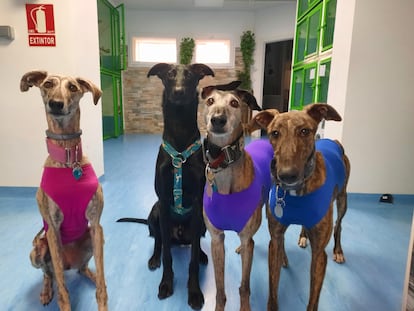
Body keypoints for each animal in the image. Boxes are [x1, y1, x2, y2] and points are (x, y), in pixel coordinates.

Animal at [116, 62, 213, 310]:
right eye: (169, 75)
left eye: (190, 76)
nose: (178, 91)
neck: (179, 132)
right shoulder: (163, 200)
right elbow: (168, 255)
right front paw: (166, 284)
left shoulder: (198, 201)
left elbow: (192, 261)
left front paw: (194, 291)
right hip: (157, 213)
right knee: (159, 241)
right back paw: (154, 258)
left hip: (201, 221)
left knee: (196, 243)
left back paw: (202, 255)